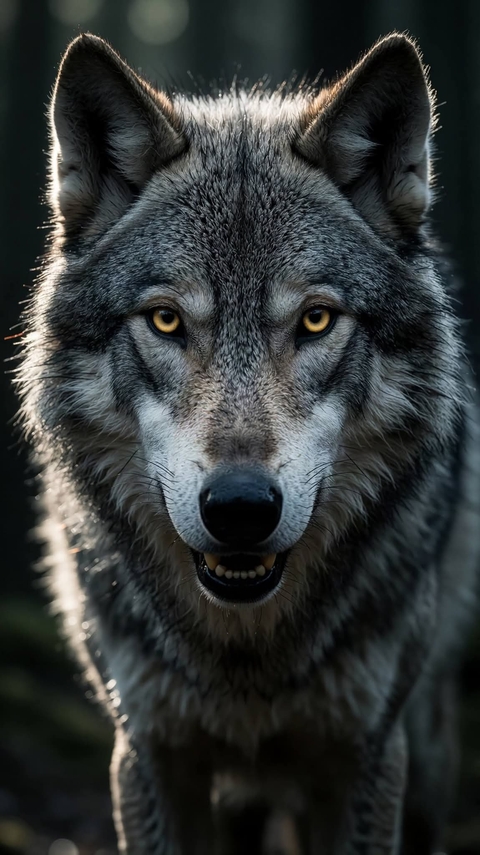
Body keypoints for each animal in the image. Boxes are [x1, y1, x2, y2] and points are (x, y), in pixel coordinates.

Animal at [17, 30, 480, 855]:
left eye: (317, 320)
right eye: (166, 320)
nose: (239, 508)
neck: (246, 655)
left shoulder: (366, 753)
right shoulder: (148, 751)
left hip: (426, 749)